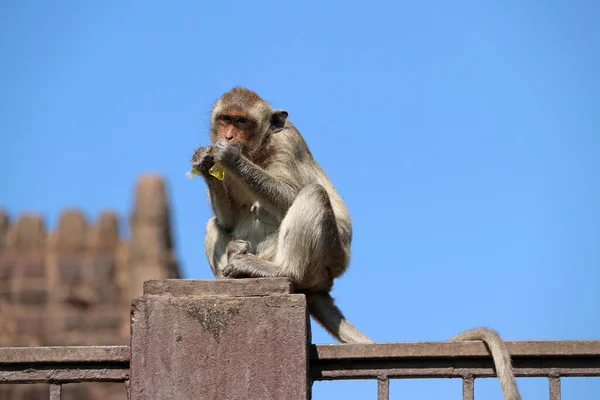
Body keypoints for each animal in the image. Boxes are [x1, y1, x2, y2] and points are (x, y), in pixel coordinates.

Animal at [191, 88, 520, 400]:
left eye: (242, 122)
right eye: (225, 119)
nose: (228, 137)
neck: (258, 152)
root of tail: (322, 284)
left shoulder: (288, 142)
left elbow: (291, 194)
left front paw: (231, 158)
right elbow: (229, 219)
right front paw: (204, 162)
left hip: (325, 259)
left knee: (312, 194)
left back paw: (279, 271)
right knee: (215, 224)